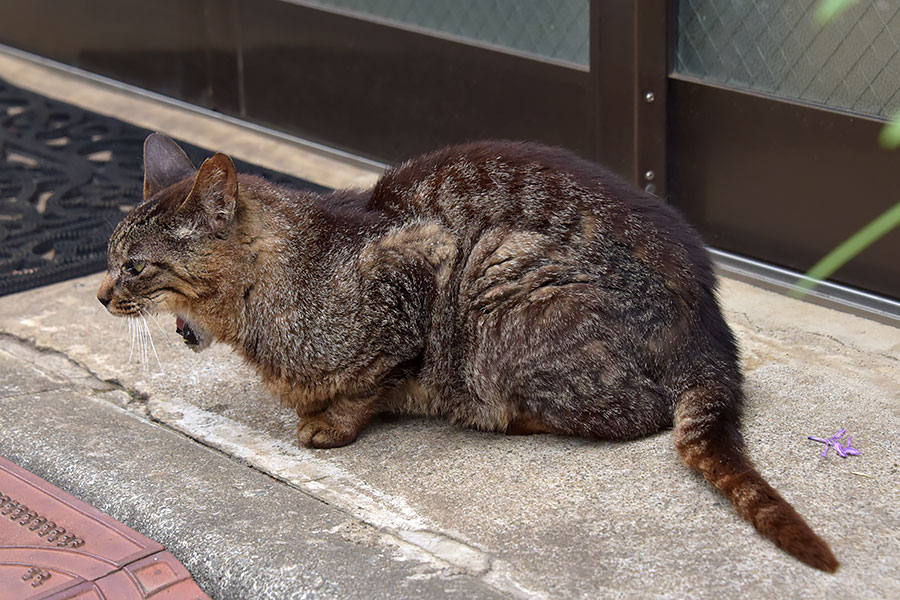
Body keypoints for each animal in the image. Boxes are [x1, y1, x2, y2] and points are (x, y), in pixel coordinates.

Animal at [102, 131, 840, 572]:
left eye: (134, 267)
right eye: (109, 258)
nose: (103, 295)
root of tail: (710, 325)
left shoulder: (419, 272)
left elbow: (373, 381)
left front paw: (331, 422)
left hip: (496, 274)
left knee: (640, 413)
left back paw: (503, 415)